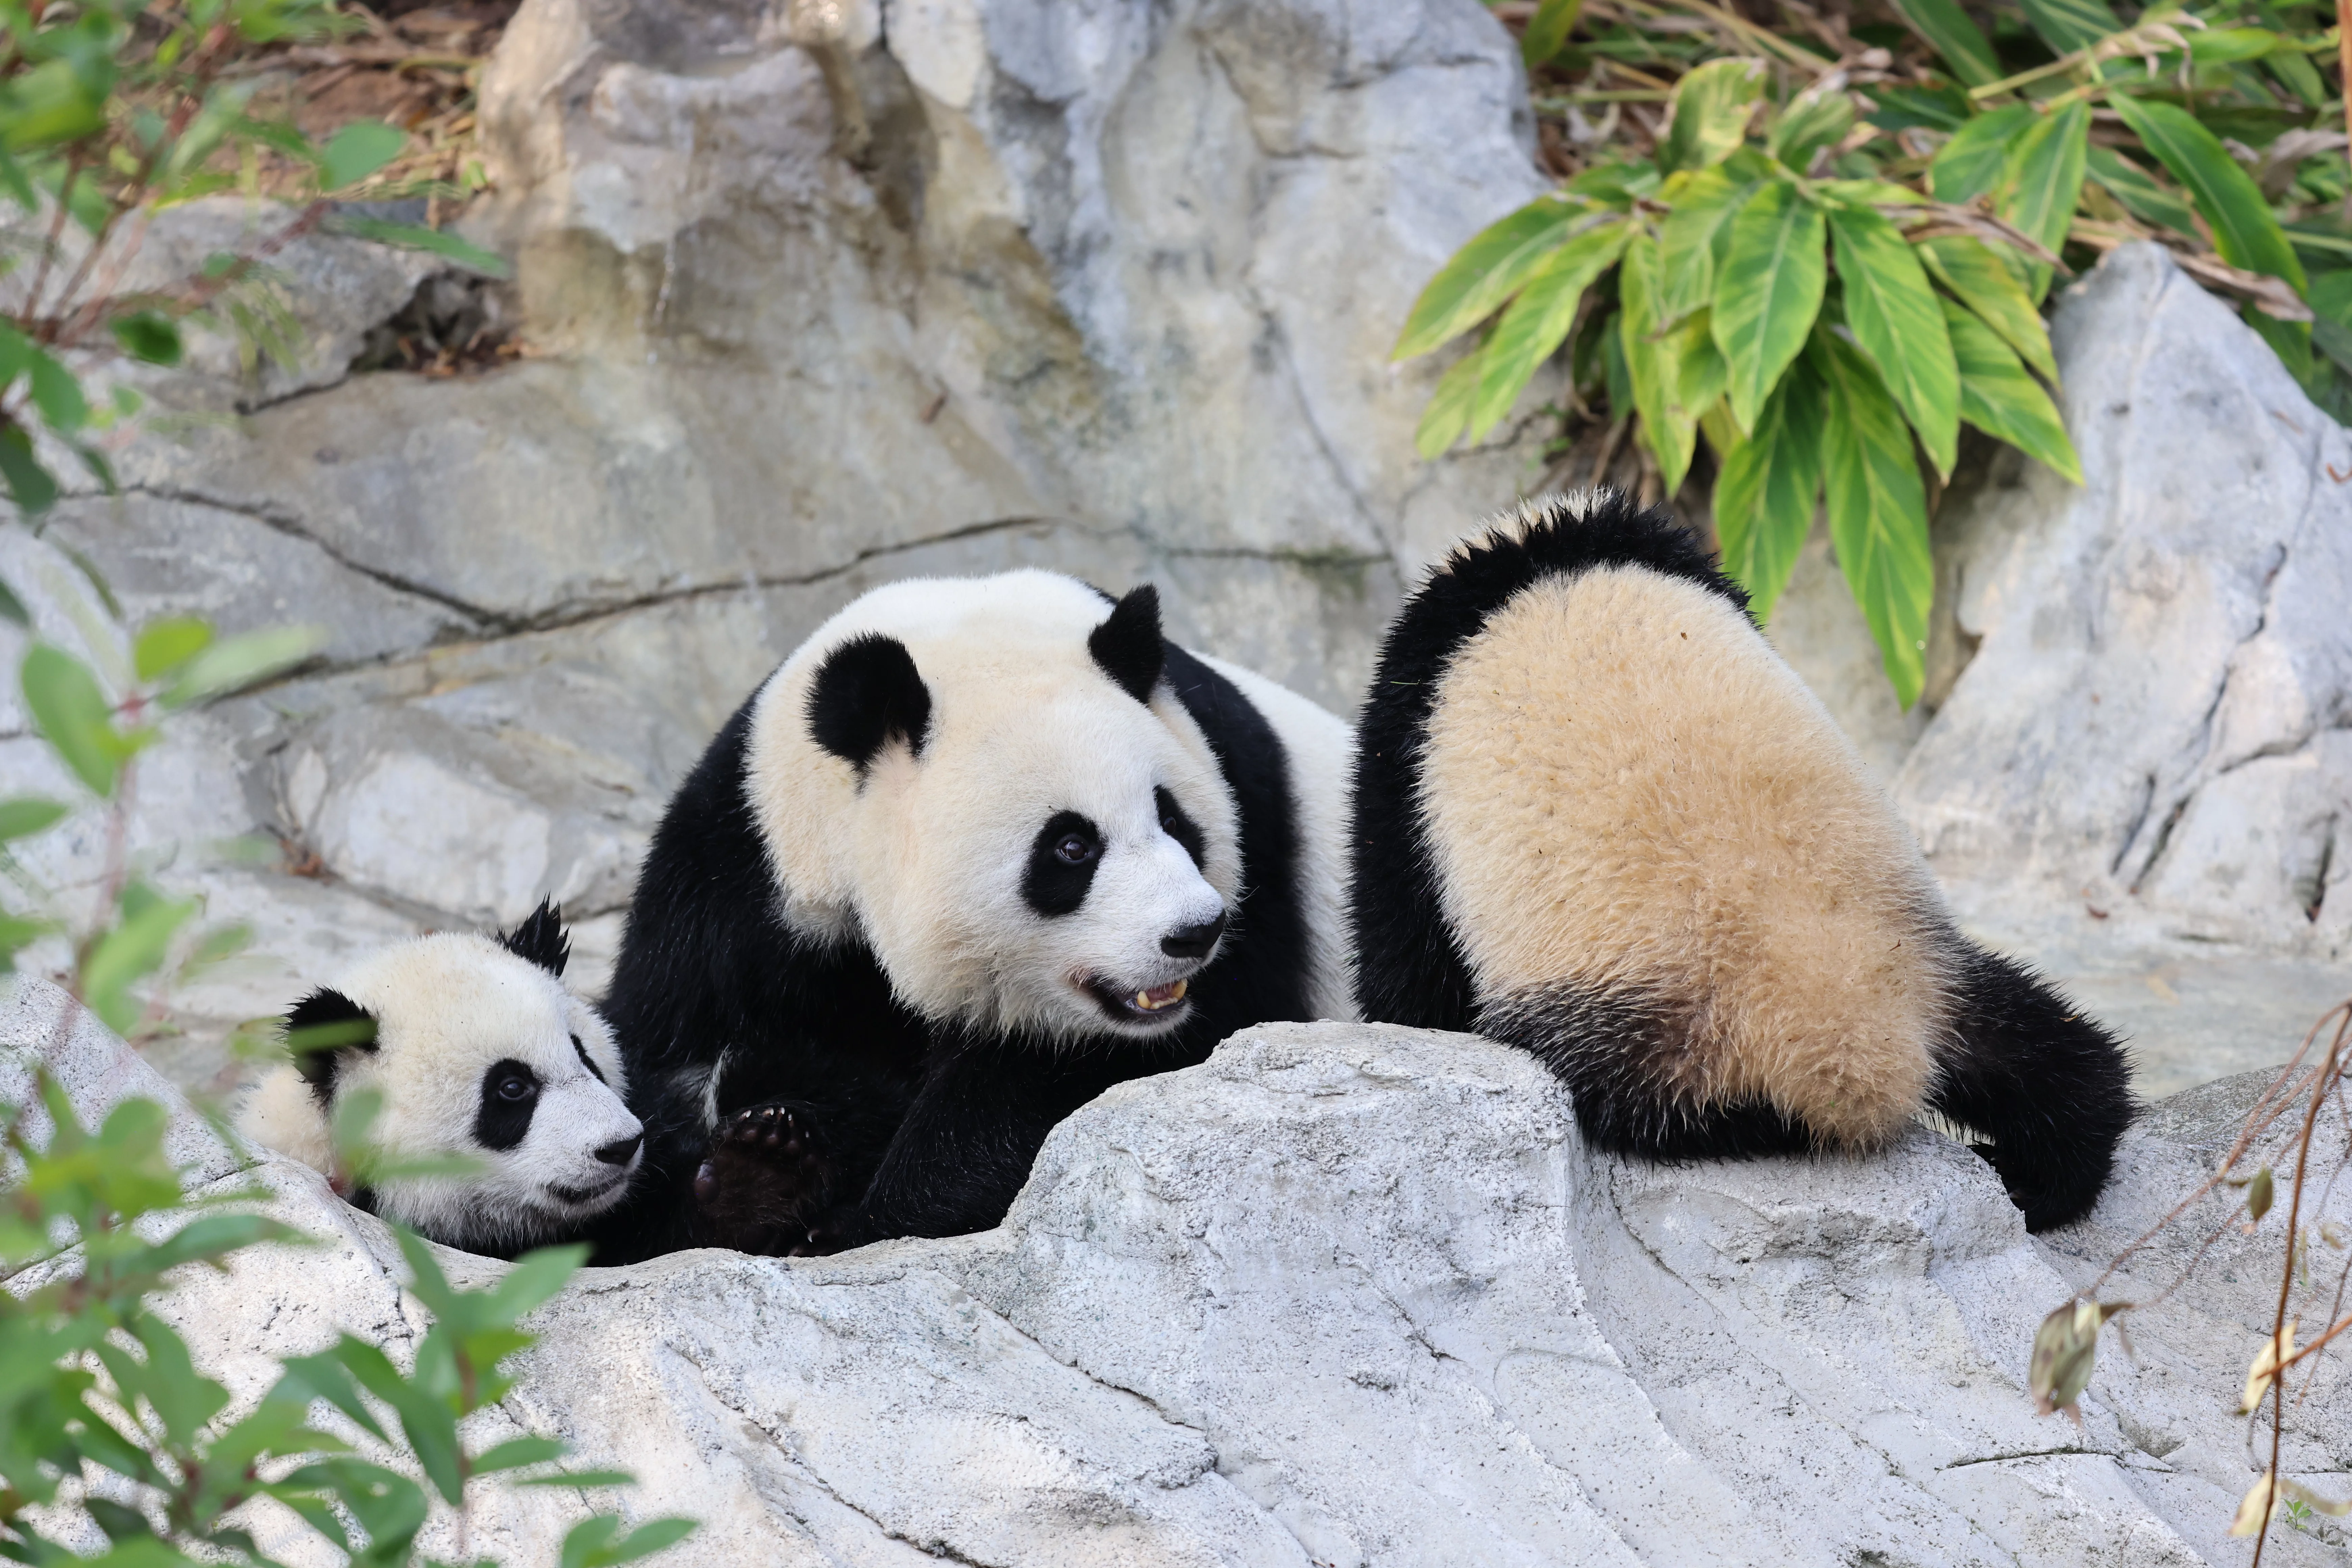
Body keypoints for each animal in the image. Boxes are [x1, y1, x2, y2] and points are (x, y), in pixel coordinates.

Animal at [590, 569, 1354, 1260]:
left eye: (1175, 821)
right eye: (1071, 847)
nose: (1195, 932)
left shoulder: (1254, 857)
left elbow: (1065, 1076)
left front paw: (854, 1219)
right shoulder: (744, 874)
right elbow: (658, 1063)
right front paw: (756, 1178)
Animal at [1350, 489, 2135, 1232]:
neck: (1544, 554)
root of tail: (1847, 1035)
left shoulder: (1411, 740)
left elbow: (1407, 952)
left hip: (1645, 1038)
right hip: (1925, 960)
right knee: (2047, 1052)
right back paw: (2040, 1178)